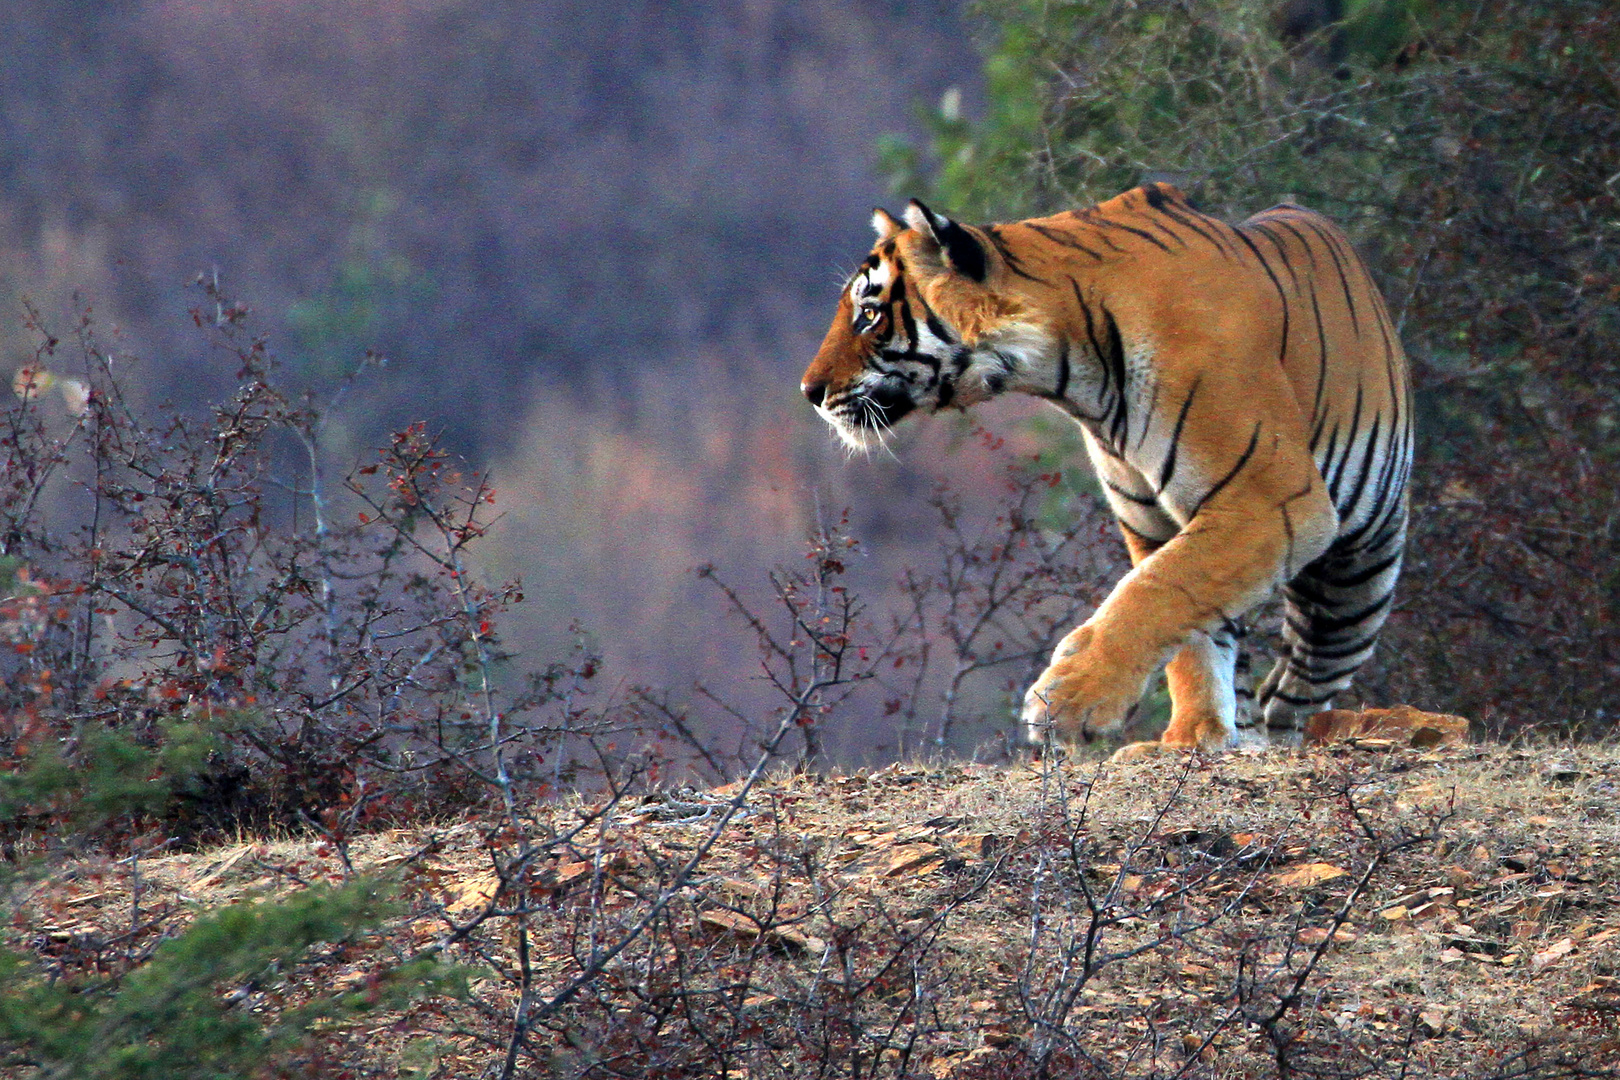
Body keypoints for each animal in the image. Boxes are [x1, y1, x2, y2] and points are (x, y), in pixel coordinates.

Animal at [803, 183, 1412, 761]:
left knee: (1299, 688)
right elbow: (1185, 620)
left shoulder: (1269, 497)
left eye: (869, 315)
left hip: (1356, 584)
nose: (809, 391)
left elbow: (1159, 593)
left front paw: (1070, 702)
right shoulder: (1154, 521)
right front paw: (1191, 739)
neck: (1072, 374)